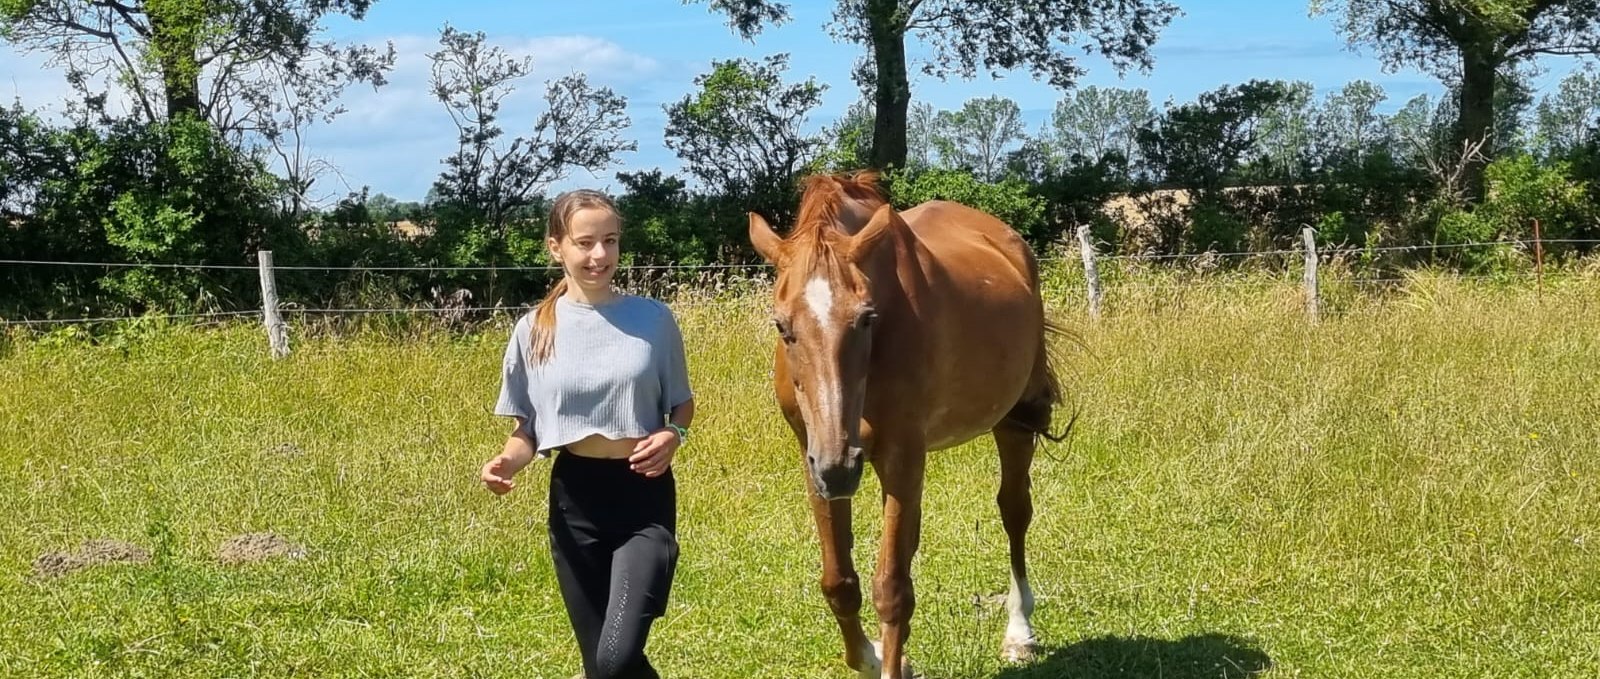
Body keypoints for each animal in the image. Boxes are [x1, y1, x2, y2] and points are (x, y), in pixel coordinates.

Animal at [748, 172, 1062, 675]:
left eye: (865, 318)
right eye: (782, 325)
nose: (840, 467)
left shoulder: (900, 457)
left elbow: (892, 588)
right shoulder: (814, 459)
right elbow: (840, 580)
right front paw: (871, 656)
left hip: (1014, 422)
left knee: (1015, 510)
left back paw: (1020, 631)